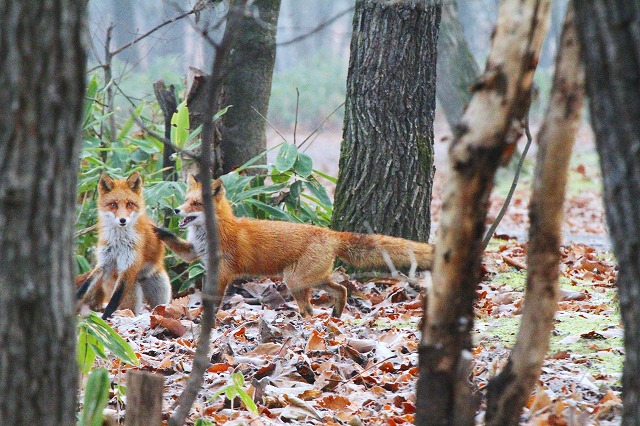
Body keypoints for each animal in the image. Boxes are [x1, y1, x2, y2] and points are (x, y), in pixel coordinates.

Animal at [76, 173, 171, 320]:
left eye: (129, 204)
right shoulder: (104, 262)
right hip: (133, 293)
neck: (118, 242)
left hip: (161, 292)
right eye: (113, 204)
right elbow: (86, 285)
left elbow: (114, 300)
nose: (122, 220)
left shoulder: (129, 266)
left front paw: (104, 319)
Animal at [155, 175, 436, 318]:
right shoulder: (193, 253)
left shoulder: (223, 271)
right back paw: (336, 315)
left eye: (196, 204)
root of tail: (329, 232)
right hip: (313, 278)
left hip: (294, 281)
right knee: (341, 289)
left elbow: (215, 298)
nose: (176, 210)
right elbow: (177, 245)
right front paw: (158, 230)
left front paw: (208, 318)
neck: (212, 233)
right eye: (185, 200)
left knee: (310, 309)